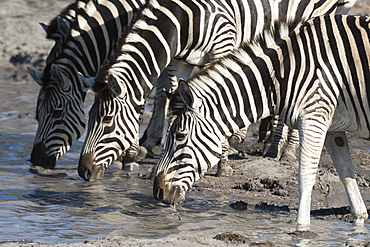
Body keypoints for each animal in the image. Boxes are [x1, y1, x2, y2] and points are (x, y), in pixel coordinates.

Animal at [79, 0, 358, 180]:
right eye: (89, 119)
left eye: (106, 120)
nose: (83, 170)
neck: (183, 21)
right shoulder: (180, 61)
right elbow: (172, 101)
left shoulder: (223, 45)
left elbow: (219, 103)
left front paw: (222, 162)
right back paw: (274, 146)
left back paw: (286, 148)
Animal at [152, 14, 368, 232]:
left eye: (180, 136)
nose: (157, 191)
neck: (283, 73)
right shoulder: (333, 128)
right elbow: (346, 172)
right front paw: (359, 219)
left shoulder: (314, 115)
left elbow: (305, 175)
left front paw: (301, 228)